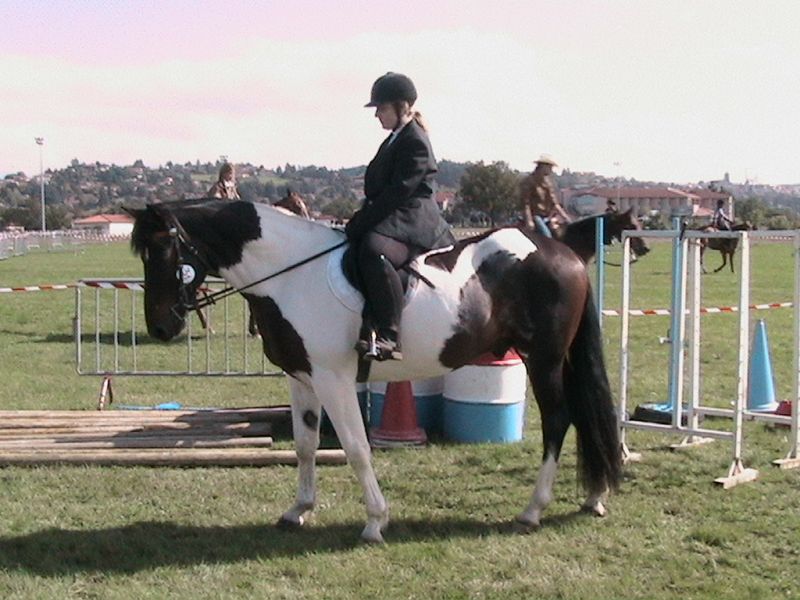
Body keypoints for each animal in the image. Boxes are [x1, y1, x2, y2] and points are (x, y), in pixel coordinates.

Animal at [127, 199, 621, 543]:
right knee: (582, 416)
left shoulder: (334, 380)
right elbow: (305, 446)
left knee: (559, 419)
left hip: (543, 358)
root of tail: (563, 253)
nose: (161, 326)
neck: (289, 276)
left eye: (164, 248)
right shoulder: (301, 379)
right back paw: (594, 497)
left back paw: (533, 510)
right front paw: (298, 510)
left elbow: (356, 449)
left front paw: (374, 522)